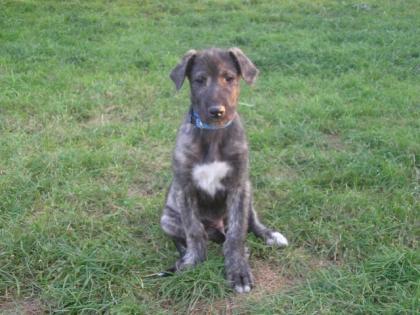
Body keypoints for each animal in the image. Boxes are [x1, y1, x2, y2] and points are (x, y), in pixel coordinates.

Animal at [161, 47, 288, 294]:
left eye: (229, 78)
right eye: (199, 80)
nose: (216, 111)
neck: (213, 134)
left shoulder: (238, 185)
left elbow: (238, 233)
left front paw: (238, 269)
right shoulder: (185, 188)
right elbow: (194, 231)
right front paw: (193, 262)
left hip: (248, 191)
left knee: (249, 223)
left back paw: (270, 236)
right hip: (167, 218)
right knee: (199, 235)